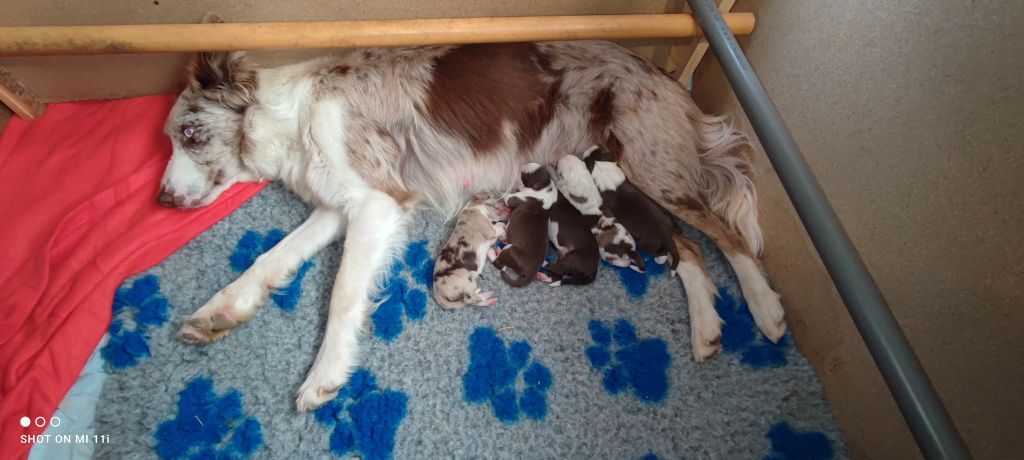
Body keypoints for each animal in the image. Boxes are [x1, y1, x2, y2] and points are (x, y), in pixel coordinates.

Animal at [157, 38, 782, 409]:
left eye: (188, 133)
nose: (161, 199)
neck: (292, 117)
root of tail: (669, 76)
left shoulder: (377, 203)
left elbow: (341, 295)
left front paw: (324, 375)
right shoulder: (338, 205)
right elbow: (271, 257)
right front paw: (219, 311)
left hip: (650, 164)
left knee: (726, 236)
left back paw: (764, 308)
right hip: (636, 179)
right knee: (686, 248)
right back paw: (707, 329)